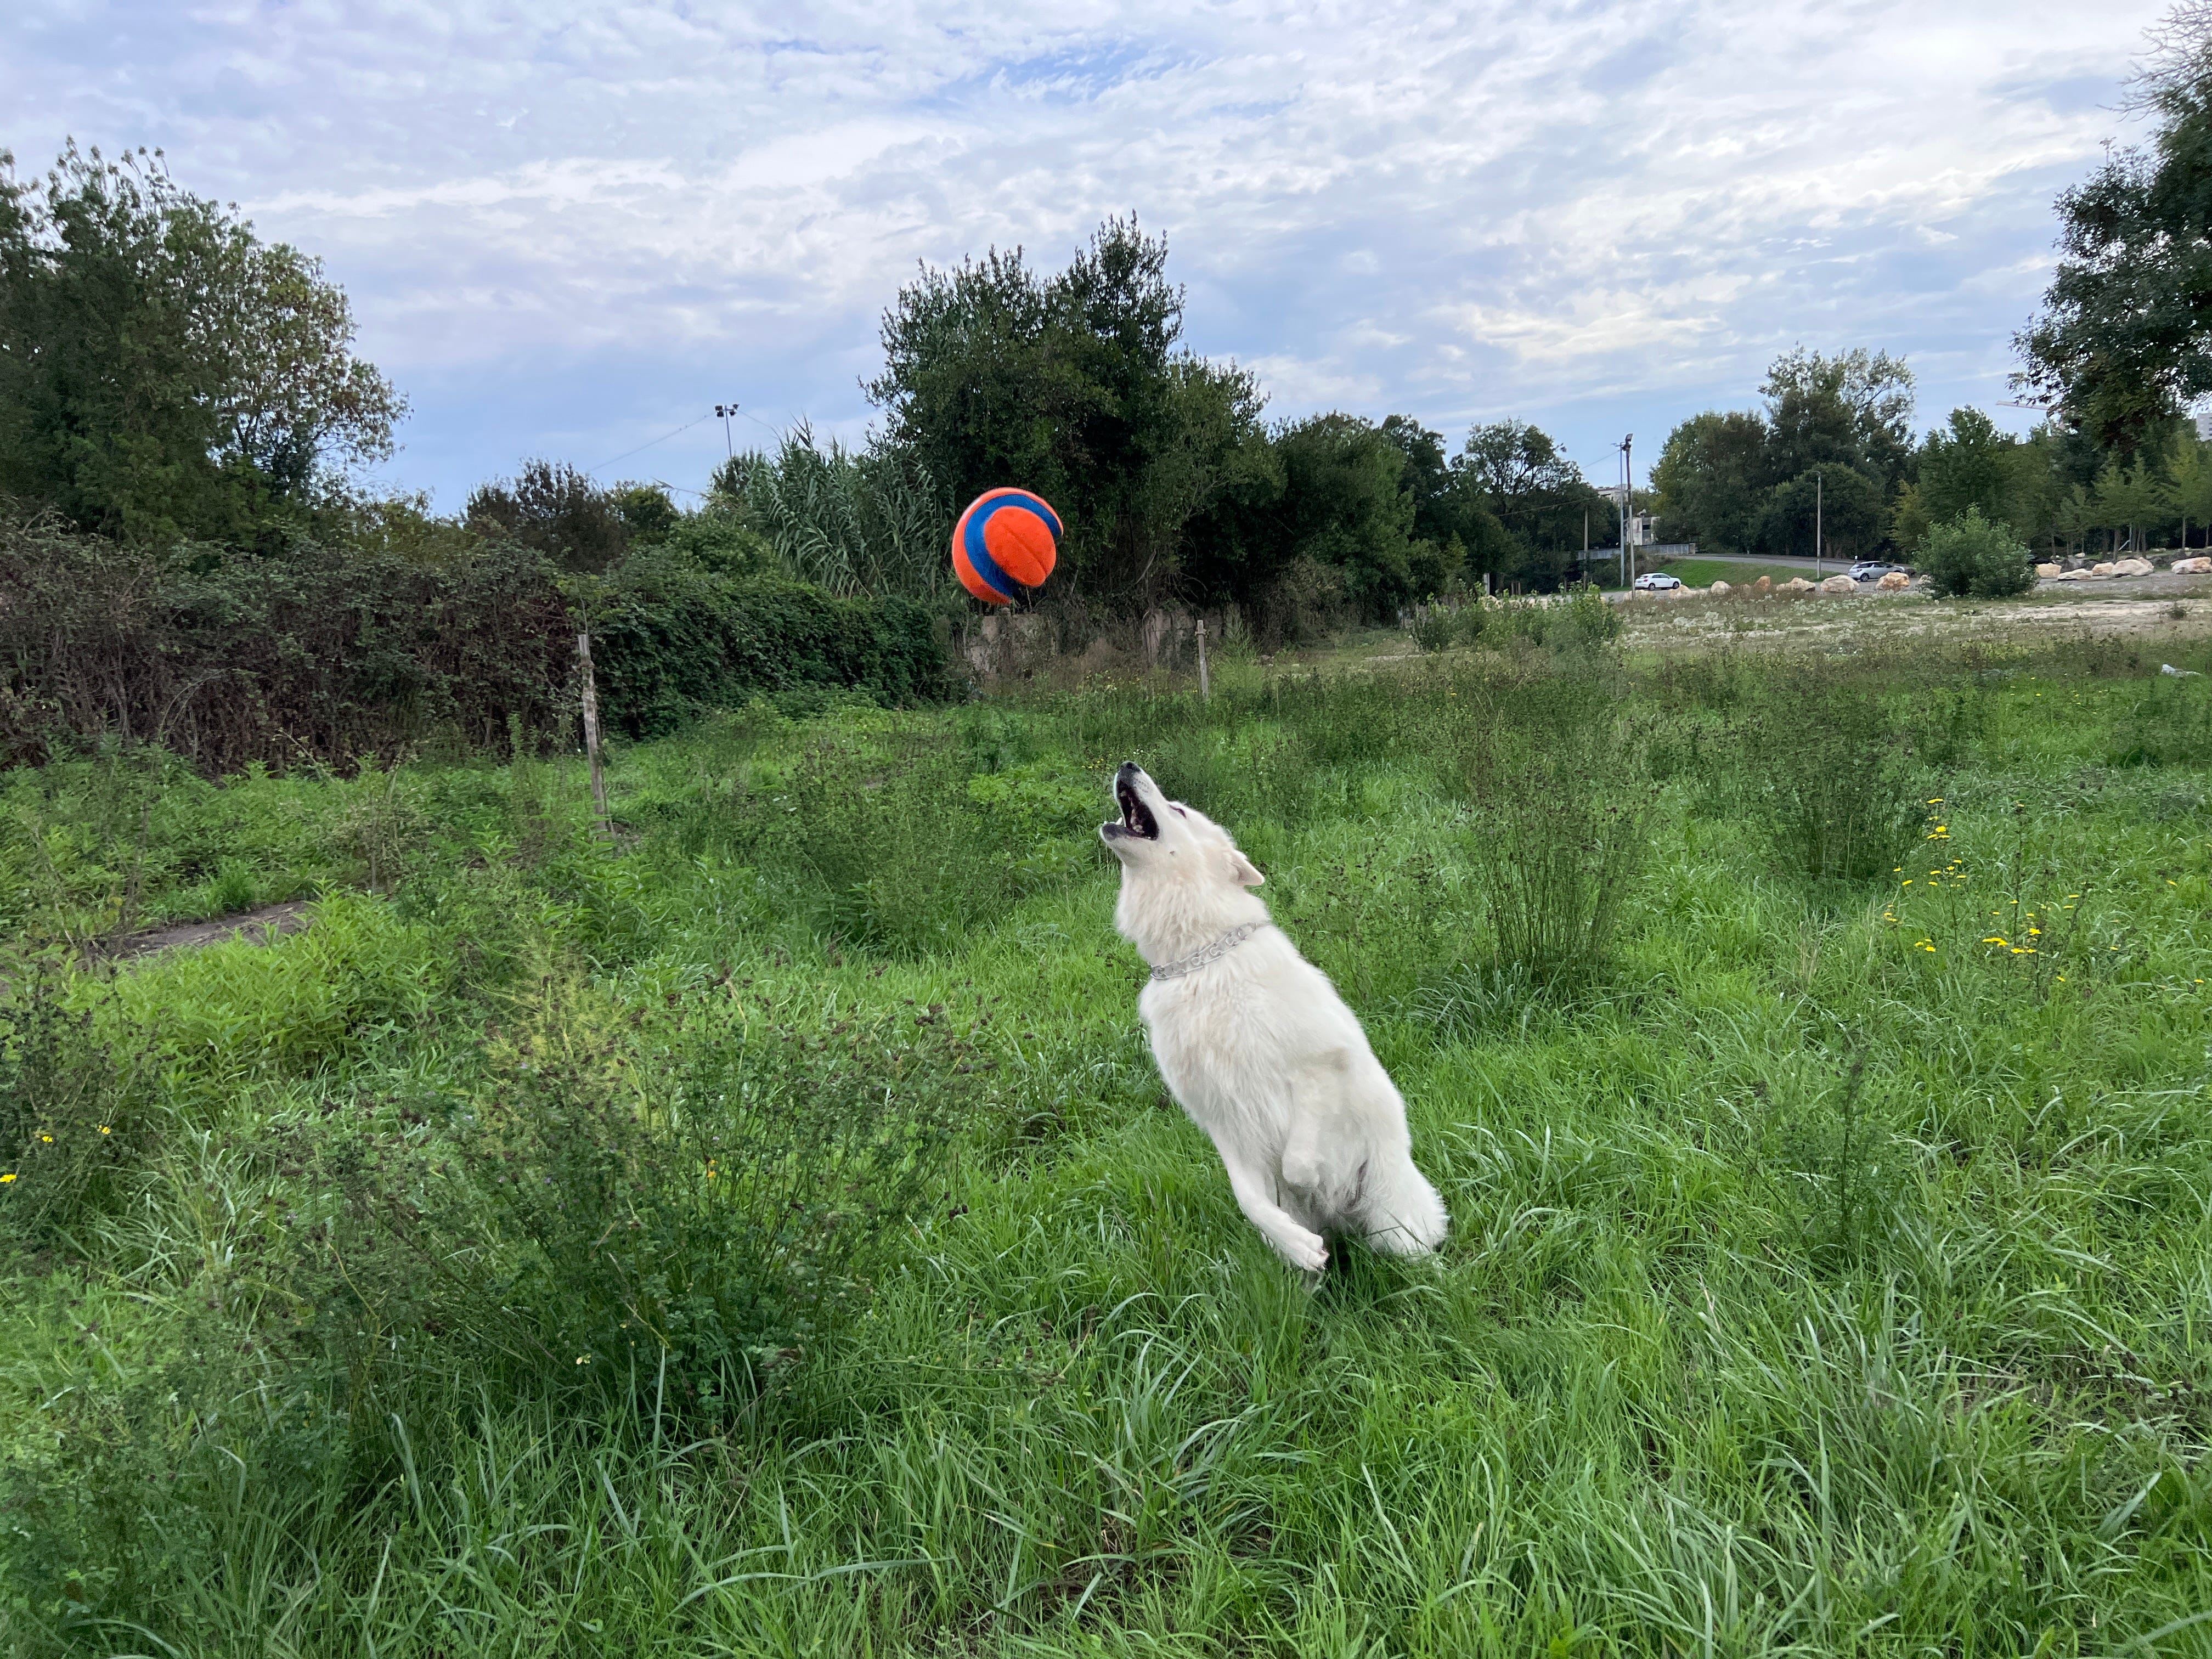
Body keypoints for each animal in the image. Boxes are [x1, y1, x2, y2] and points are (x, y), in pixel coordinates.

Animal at [1100, 762, 1448, 1271]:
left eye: (1179, 810)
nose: (1128, 765)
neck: (1199, 961)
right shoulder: (1221, 1119)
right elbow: (1250, 1201)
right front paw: (1297, 1242)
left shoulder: (1320, 1065)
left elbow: (1297, 1161)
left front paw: (1315, 1181)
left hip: (1400, 1229)